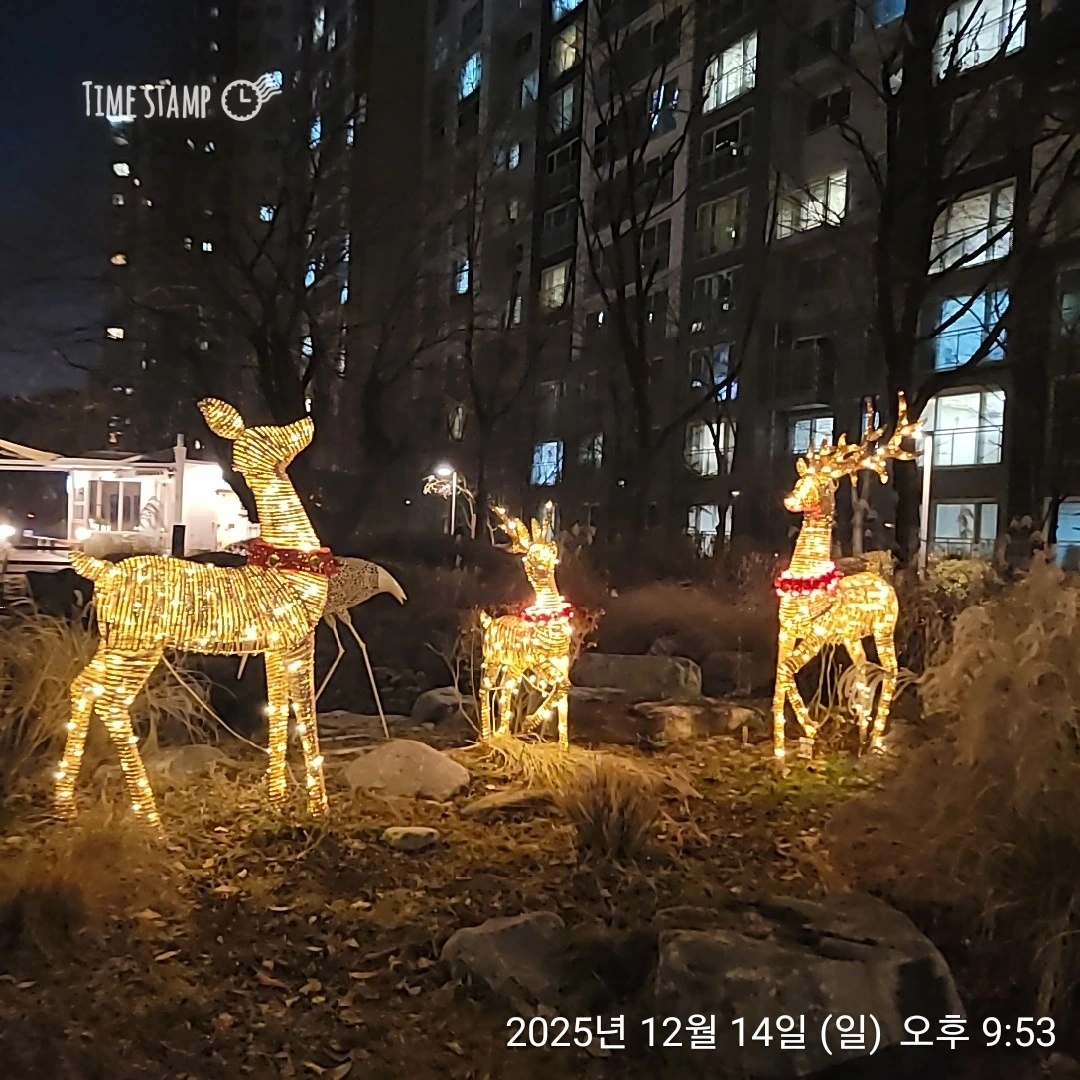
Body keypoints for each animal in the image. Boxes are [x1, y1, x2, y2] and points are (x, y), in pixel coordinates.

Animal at [55, 399, 337, 826]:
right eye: (271, 433)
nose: (307, 420)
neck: (289, 558)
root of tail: (102, 572)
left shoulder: (275, 645)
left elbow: (276, 711)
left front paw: (277, 801)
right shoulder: (300, 639)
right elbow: (305, 716)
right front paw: (319, 809)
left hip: (114, 643)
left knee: (84, 687)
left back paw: (65, 805)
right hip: (138, 647)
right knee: (112, 702)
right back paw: (151, 821)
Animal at [478, 502, 573, 748]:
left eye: (550, 552)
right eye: (532, 555)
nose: (543, 566)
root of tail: (489, 621)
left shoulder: (563, 660)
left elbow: (564, 695)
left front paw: (563, 747)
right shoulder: (539, 662)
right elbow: (562, 686)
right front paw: (529, 723)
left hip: (514, 666)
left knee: (505, 691)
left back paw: (502, 734)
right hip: (492, 658)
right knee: (485, 689)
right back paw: (486, 738)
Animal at [772, 394, 922, 762]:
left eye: (824, 482)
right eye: (800, 479)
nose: (790, 499)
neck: (806, 582)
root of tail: (883, 580)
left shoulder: (816, 636)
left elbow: (787, 671)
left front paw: (808, 731)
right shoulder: (786, 631)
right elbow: (780, 677)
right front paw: (783, 748)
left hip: (884, 629)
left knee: (890, 670)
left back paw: (875, 740)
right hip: (852, 637)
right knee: (865, 670)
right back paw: (862, 734)